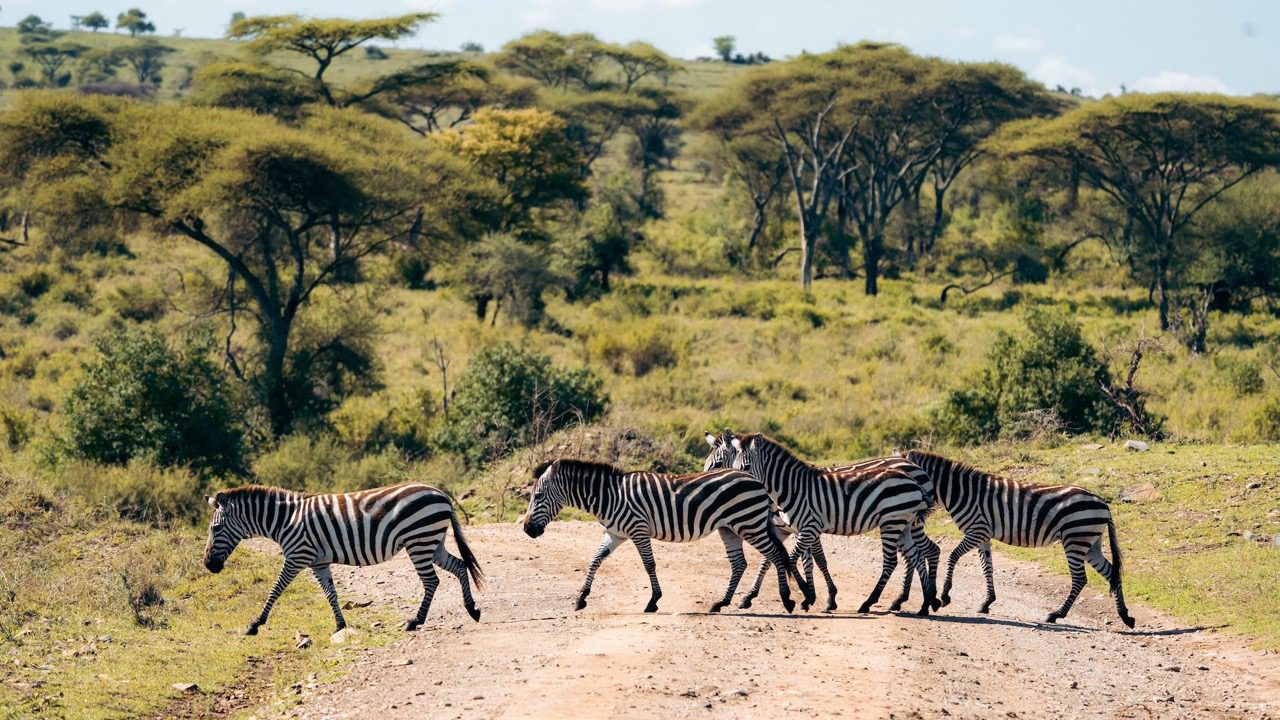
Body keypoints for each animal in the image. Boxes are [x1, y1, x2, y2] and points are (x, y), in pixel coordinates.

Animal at [203, 483, 484, 635]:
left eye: (216, 529)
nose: (208, 565)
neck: (286, 520)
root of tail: (440, 493)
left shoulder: (296, 557)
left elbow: (275, 590)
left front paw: (255, 624)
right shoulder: (318, 563)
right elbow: (331, 594)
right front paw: (340, 625)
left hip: (419, 540)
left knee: (431, 581)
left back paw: (415, 621)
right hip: (432, 542)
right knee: (459, 566)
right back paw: (472, 609)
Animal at [521, 458, 816, 614]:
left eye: (538, 496)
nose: (527, 529)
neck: (611, 497)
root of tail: (756, 481)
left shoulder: (638, 529)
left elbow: (649, 564)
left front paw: (653, 601)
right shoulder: (615, 534)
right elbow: (595, 560)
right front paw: (581, 598)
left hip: (749, 523)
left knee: (776, 555)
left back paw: (787, 600)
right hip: (730, 528)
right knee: (740, 563)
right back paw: (720, 603)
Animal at [703, 429, 940, 613]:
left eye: (718, 463)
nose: (733, 482)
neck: (792, 488)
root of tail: (911, 471)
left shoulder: (808, 527)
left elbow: (798, 560)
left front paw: (813, 597)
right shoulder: (793, 529)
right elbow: (780, 559)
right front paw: (751, 597)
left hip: (893, 522)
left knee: (900, 559)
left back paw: (874, 602)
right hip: (903, 523)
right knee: (916, 555)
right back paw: (923, 603)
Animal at [904, 450, 1135, 628]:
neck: (961, 492)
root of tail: (1103, 503)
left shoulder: (976, 531)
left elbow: (953, 557)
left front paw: (945, 595)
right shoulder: (983, 535)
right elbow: (987, 567)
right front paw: (987, 602)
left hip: (1075, 539)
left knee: (1080, 579)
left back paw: (1056, 614)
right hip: (1090, 543)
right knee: (1112, 573)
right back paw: (1125, 616)